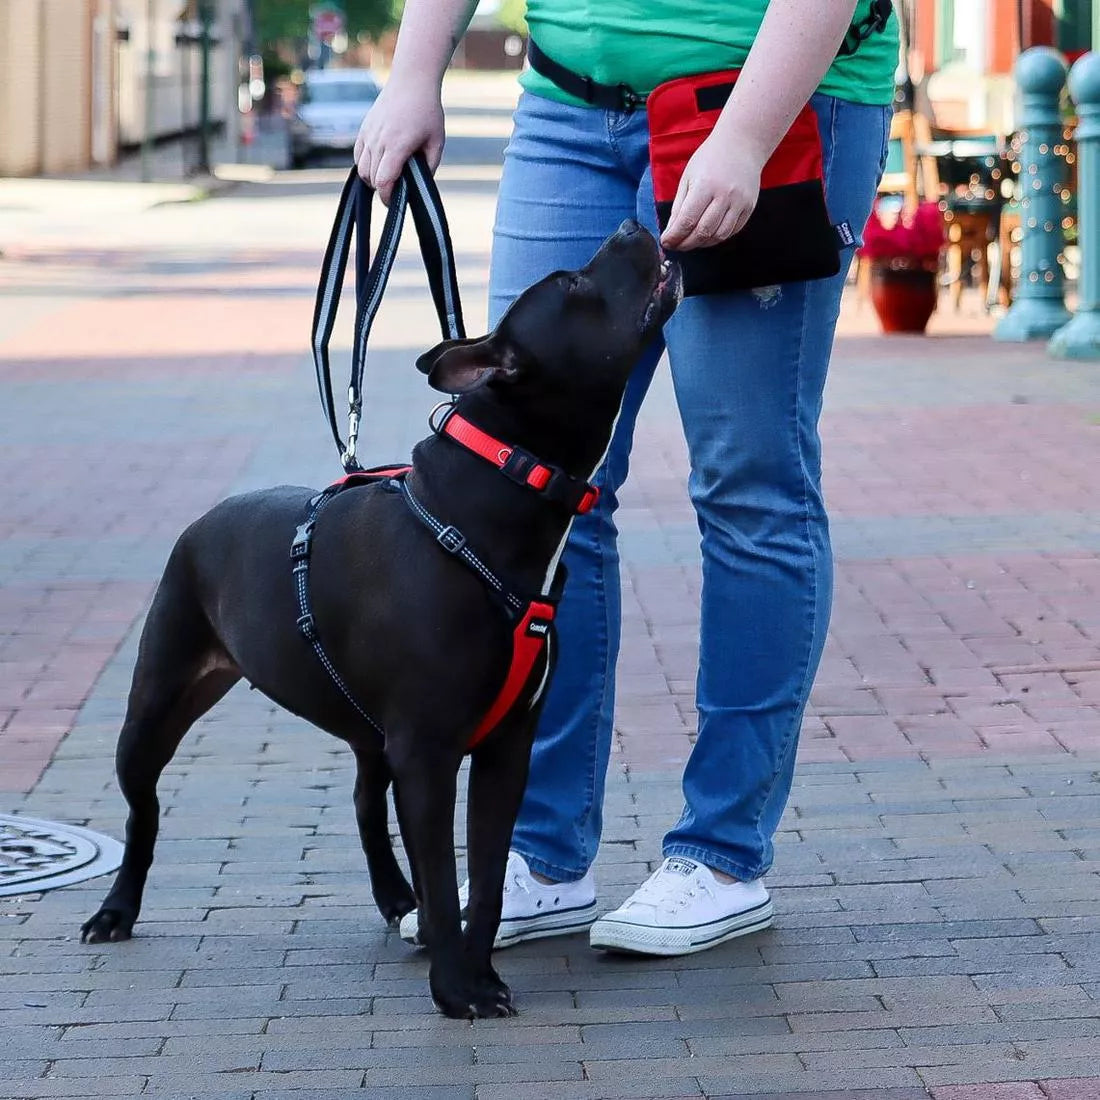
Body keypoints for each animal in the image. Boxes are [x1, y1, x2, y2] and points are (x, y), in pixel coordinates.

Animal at [79, 218, 677, 1016]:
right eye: (572, 284)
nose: (633, 224)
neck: (499, 487)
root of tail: (208, 515)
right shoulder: (427, 750)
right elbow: (443, 874)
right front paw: (456, 988)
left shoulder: (503, 748)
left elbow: (485, 879)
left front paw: (477, 971)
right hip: (154, 707)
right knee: (141, 812)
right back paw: (115, 910)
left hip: (366, 727)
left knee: (366, 801)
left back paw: (397, 898)